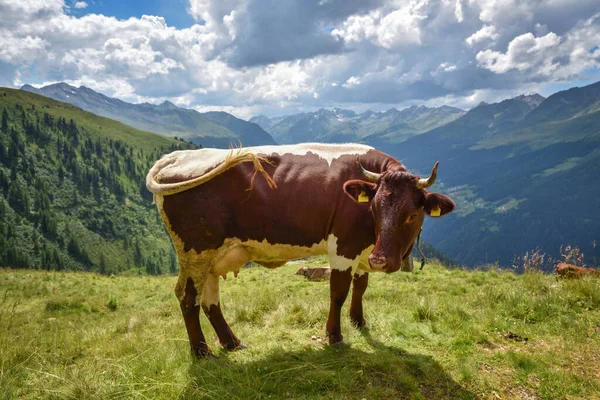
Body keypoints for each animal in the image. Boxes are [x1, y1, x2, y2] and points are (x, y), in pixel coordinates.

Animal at [146, 143, 454, 356]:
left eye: (412, 215)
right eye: (374, 210)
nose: (381, 260)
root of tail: (175, 156)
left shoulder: (363, 250)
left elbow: (361, 285)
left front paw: (359, 322)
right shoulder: (344, 245)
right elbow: (339, 291)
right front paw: (335, 336)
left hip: (211, 256)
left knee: (209, 301)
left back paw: (232, 343)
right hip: (195, 251)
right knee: (188, 297)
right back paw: (202, 352)